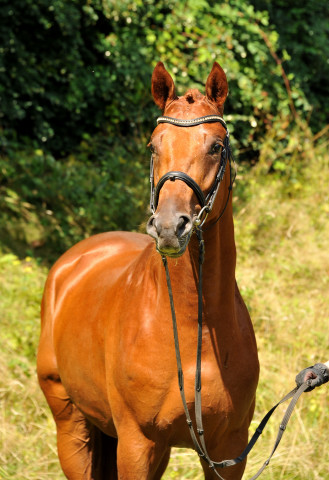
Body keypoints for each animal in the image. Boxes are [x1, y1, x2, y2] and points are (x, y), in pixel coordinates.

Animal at [37, 62, 258, 478]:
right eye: (153, 146)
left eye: (216, 146)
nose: (170, 227)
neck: (193, 331)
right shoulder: (137, 444)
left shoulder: (228, 450)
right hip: (71, 425)